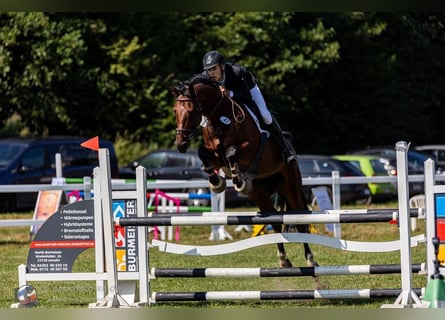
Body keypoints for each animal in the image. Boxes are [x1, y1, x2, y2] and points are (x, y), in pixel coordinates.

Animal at [172, 74, 318, 268]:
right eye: (175, 111)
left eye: (191, 111)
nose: (180, 145)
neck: (220, 119)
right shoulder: (215, 156)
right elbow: (203, 153)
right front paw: (217, 182)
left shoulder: (250, 149)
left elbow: (231, 152)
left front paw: (239, 181)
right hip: (261, 195)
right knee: (275, 223)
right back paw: (283, 260)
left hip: (290, 187)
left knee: (300, 222)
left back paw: (310, 259)